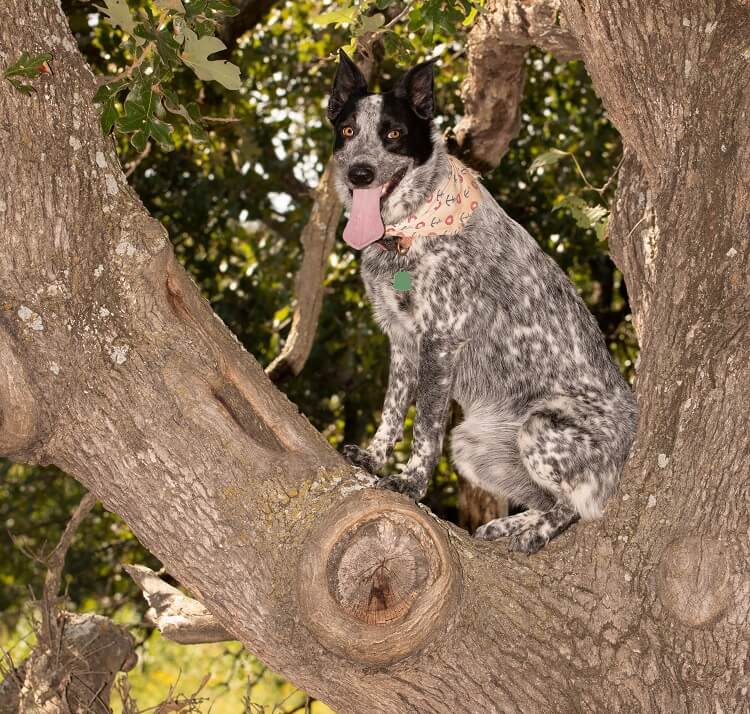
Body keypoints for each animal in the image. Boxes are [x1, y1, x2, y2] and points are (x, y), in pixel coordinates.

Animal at [328, 50, 636, 552]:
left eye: (394, 134)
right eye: (350, 130)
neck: (411, 231)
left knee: (574, 506)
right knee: (546, 499)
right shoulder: (402, 341)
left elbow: (424, 426)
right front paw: (373, 457)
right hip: (472, 444)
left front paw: (411, 483)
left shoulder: (439, 340)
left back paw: (535, 534)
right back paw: (509, 526)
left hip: (539, 428)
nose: (360, 173)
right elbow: (392, 409)